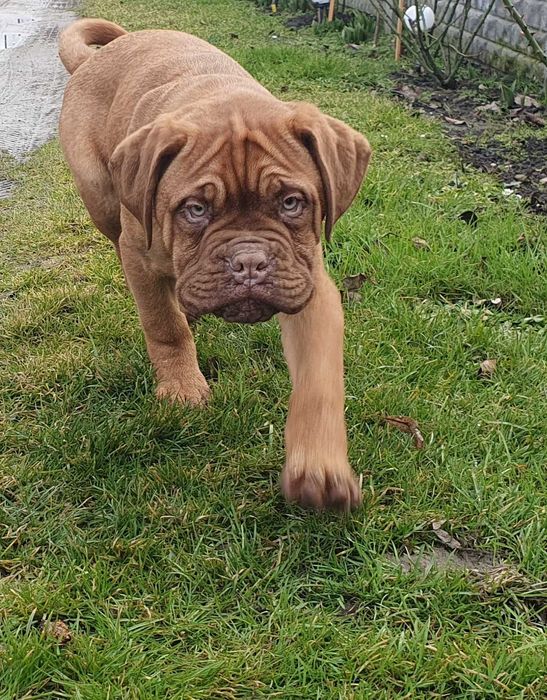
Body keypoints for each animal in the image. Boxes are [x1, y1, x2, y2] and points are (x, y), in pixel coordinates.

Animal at [58, 19, 372, 512]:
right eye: (196, 210)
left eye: (291, 203)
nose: (249, 262)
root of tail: (100, 55)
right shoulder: (140, 259)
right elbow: (164, 325)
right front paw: (183, 387)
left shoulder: (309, 284)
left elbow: (319, 378)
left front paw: (319, 467)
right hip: (102, 200)